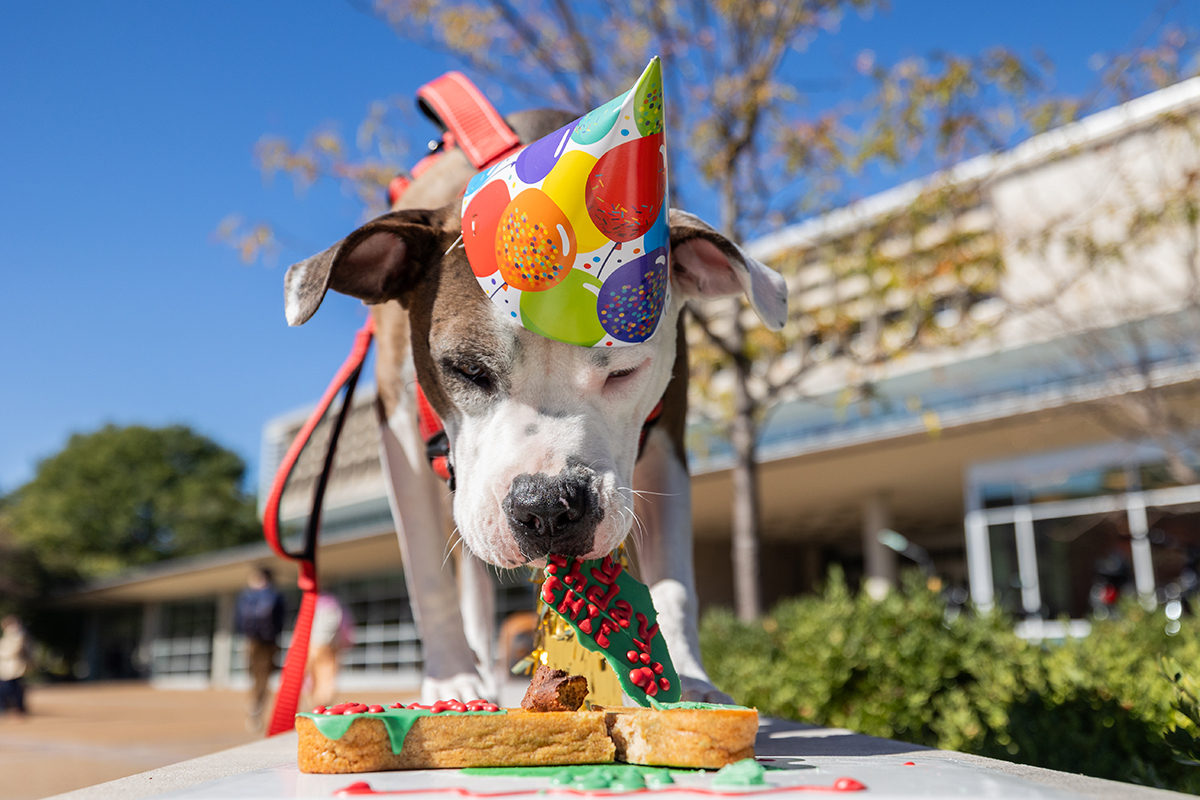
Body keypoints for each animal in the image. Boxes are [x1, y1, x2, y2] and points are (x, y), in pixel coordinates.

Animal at [283, 103, 787, 705]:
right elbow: (428, 574)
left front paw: (690, 678)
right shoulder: (398, 432)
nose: (547, 507)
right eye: (467, 370)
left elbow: (676, 578)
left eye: (624, 370)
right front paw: (450, 678)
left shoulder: (667, 437)